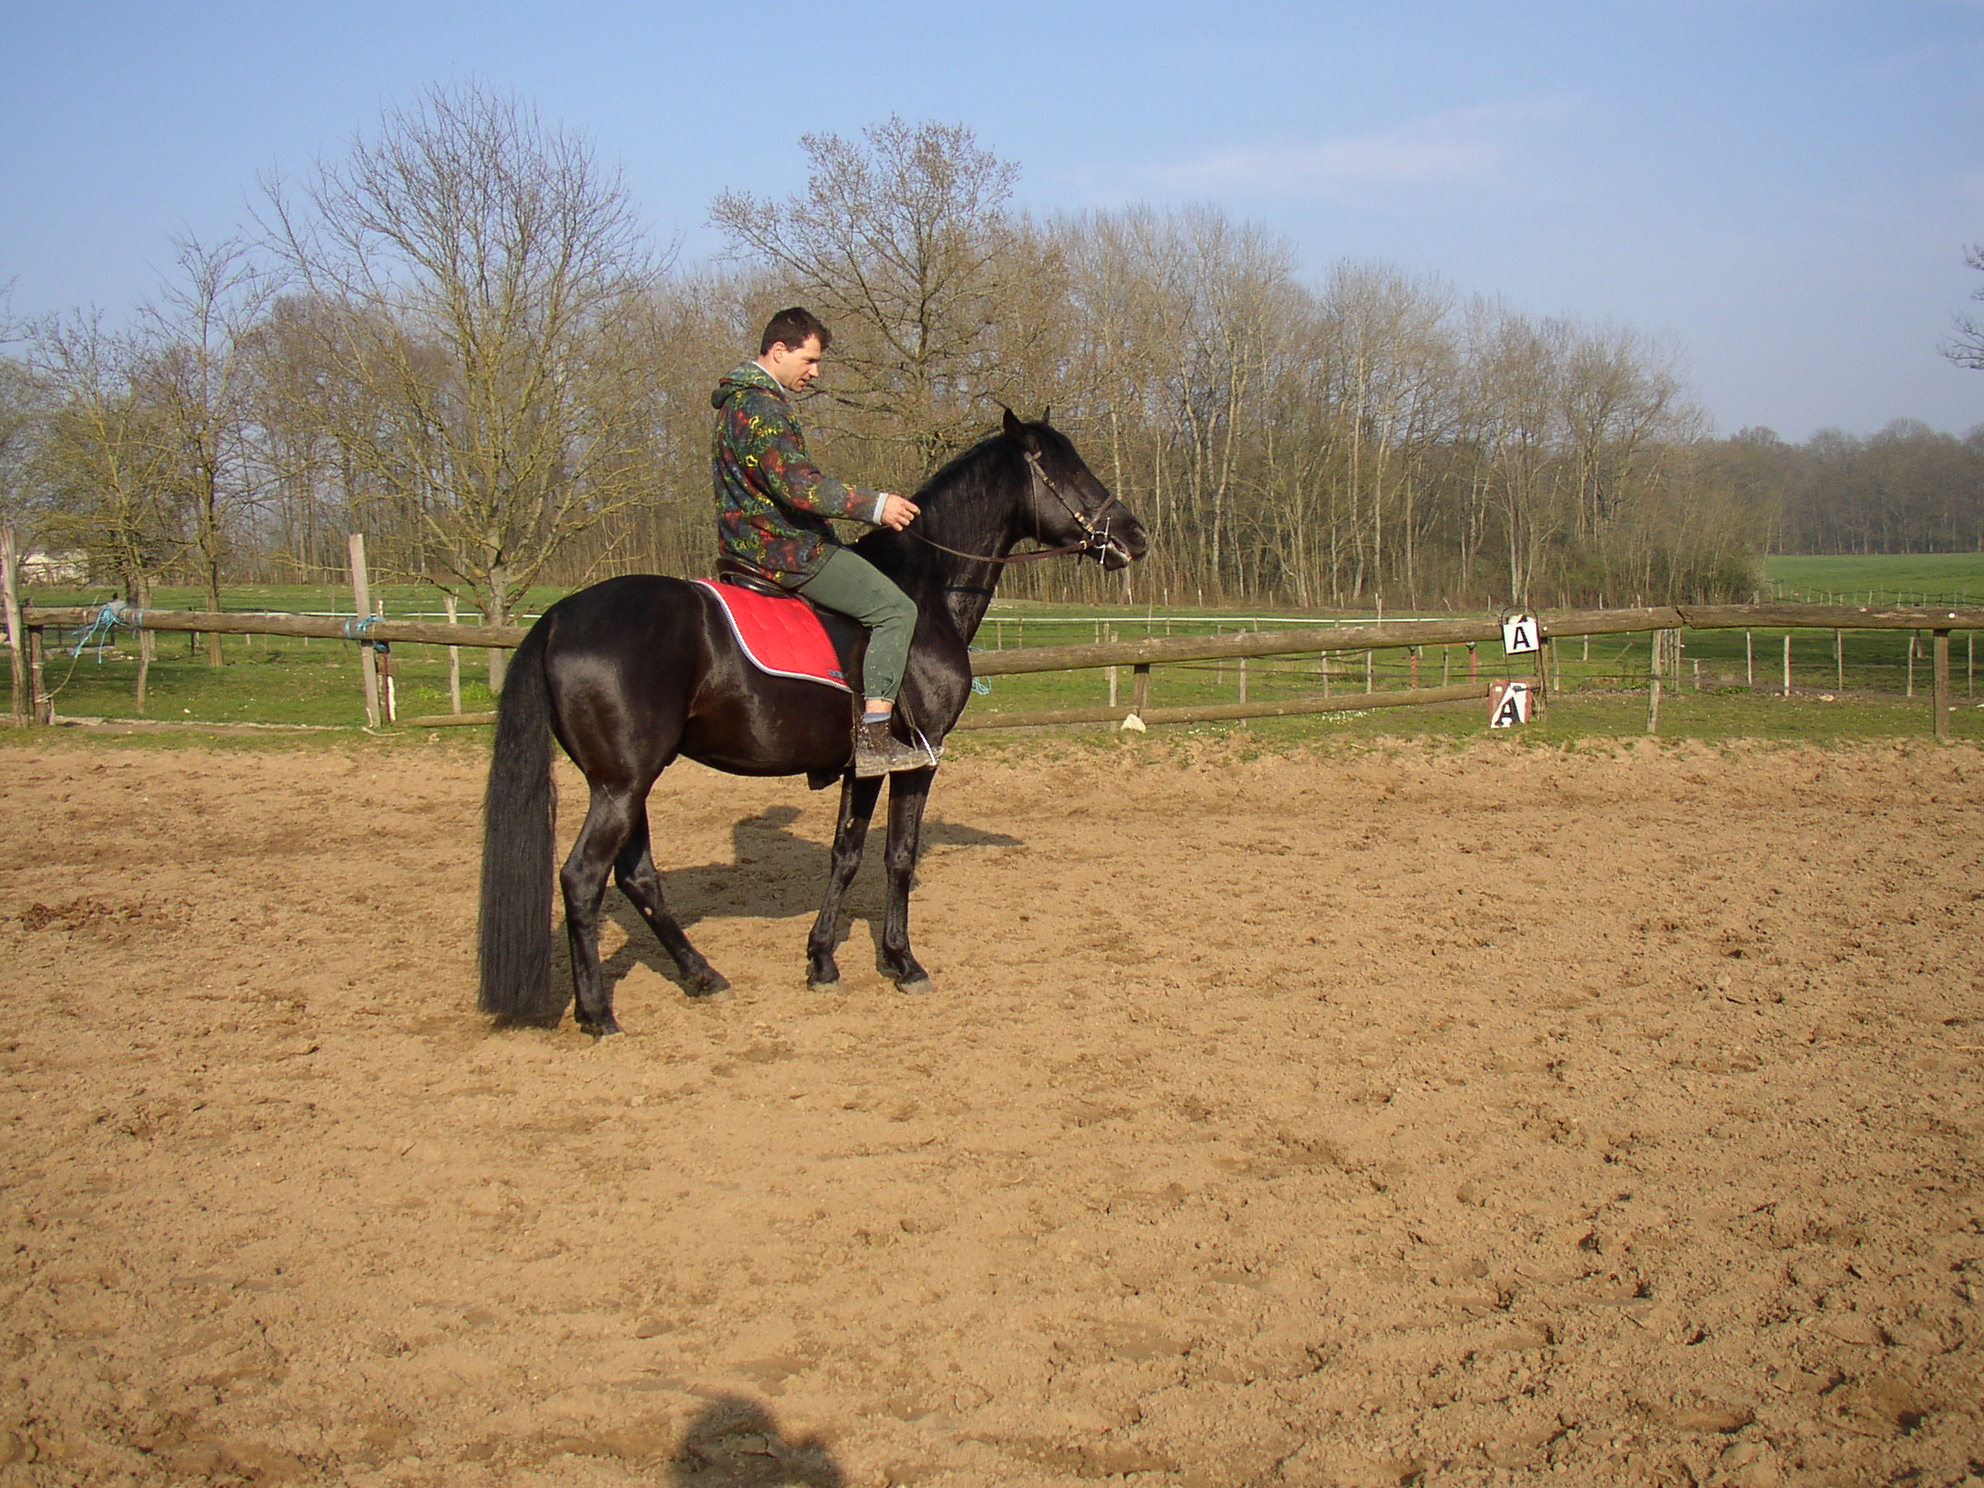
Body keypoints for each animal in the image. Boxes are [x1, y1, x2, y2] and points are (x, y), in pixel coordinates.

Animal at [476, 409, 1147, 1034]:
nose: (1136, 536)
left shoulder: (862, 766)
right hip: (620, 786)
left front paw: (823, 961)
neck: (925, 591)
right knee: (582, 879)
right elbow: (898, 856)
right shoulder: (918, 759)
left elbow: (845, 854)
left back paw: (702, 977)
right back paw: (598, 1013)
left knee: (638, 877)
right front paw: (903, 963)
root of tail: (559, 617)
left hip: (627, 785)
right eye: (1066, 470)